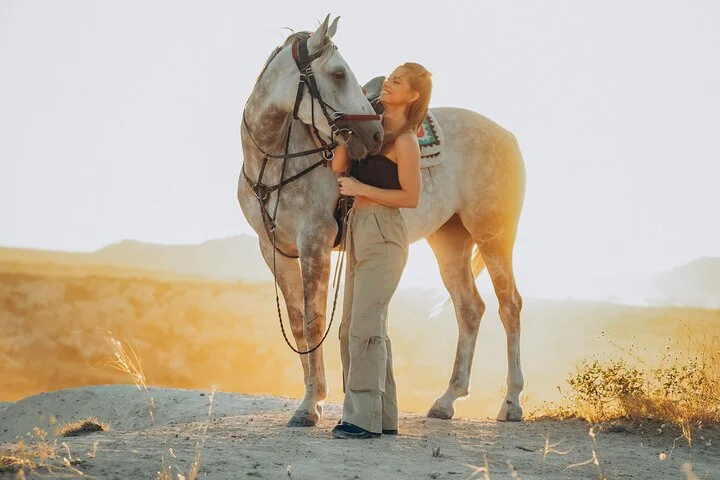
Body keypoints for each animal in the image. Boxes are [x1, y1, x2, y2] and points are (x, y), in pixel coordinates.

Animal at [237, 15, 525, 426]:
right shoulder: (274, 249)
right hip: (450, 241)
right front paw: (313, 399)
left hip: (493, 235)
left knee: (510, 306)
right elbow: (297, 323)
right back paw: (447, 400)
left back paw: (512, 401)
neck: (274, 161)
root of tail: (507, 135)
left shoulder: (314, 243)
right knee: (470, 309)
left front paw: (310, 404)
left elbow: (313, 321)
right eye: (338, 73)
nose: (373, 134)